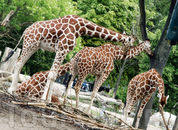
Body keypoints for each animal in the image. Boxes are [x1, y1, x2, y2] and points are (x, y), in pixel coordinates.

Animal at [7, 15, 136, 102]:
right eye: (130, 45)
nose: (125, 55)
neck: (80, 28)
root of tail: (25, 30)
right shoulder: (62, 48)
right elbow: (52, 74)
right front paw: (43, 99)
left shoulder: (64, 51)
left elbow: (55, 75)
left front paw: (48, 100)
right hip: (30, 43)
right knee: (18, 63)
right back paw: (11, 90)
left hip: (34, 46)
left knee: (21, 63)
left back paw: (13, 91)